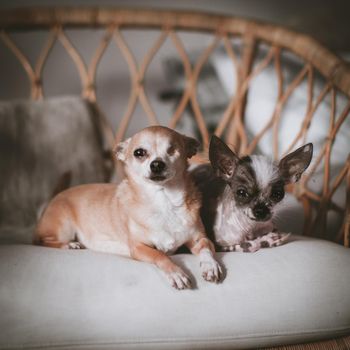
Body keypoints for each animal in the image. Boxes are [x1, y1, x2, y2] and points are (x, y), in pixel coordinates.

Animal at [34, 126, 221, 290]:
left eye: (172, 150)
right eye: (139, 153)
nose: (157, 164)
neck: (163, 200)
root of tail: (53, 198)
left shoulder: (199, 239)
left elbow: (207, 248)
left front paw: (210, 265)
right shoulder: (138, 247)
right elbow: (159, 255)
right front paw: (176, 273)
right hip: (63, 227)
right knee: (41, 241)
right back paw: (69, 245)